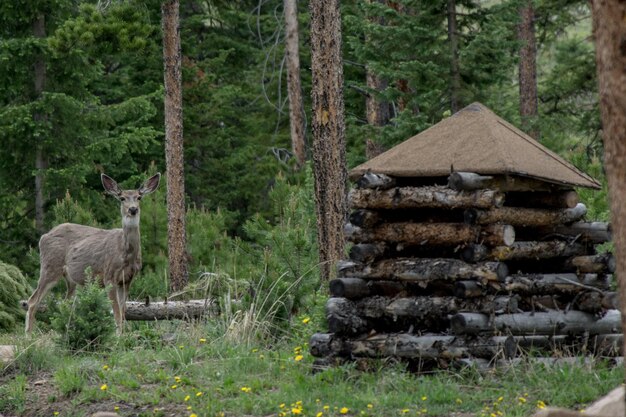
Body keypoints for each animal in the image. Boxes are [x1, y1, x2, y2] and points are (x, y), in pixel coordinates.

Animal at [24, 171, 161, 334]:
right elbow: (116, 313)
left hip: (71, 279)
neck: (126, 254)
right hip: (50, 266)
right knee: (32, 301)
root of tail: (44, 236)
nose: (133, 209)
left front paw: (123, 335)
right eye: (122, 198)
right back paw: (29, 335)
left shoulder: (127, 279)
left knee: (65, 303)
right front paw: (118, 336)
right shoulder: (109, 276)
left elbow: (123, 312)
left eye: (139, 197)